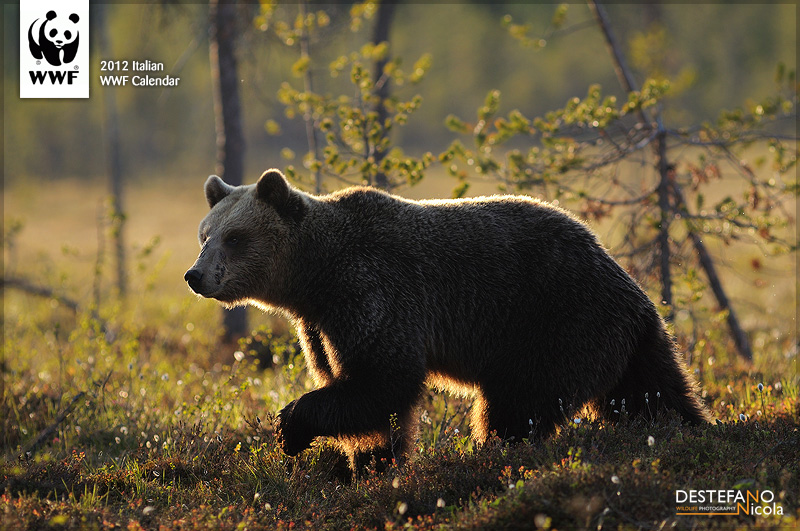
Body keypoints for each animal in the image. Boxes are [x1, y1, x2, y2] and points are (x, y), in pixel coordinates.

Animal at [188, 169, 712, 470]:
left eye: (235, 237)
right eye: (205, 234)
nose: (196, 275)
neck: (314, 277)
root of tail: (632, 292)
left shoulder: (371, 291)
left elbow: (384, 378)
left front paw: (292, 428)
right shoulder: (321, 325)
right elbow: (357, 387)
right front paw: (372, 460)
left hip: (553, 321)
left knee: (517, 405)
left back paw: (494, 452)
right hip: (628, 341)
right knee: (652, 392)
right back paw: (692, 429)